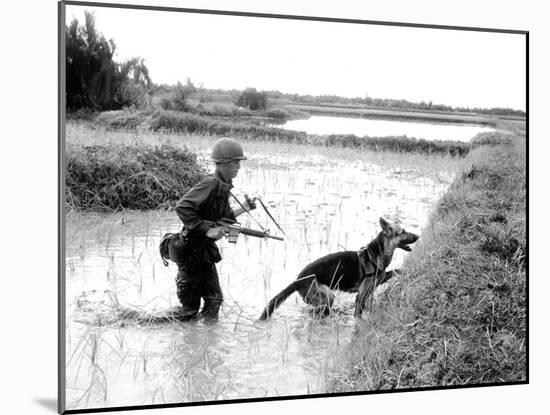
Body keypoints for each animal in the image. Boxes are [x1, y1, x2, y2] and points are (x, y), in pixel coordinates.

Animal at [260, 219, 420, 320]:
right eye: (403, 231)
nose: (418, 236)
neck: (375, 253)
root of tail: (298, 279)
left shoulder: (377, 281)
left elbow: (395, 271)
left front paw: (407, 271)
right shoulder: (360, 296)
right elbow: (358, 314)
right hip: (327, 296)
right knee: (317, 310)